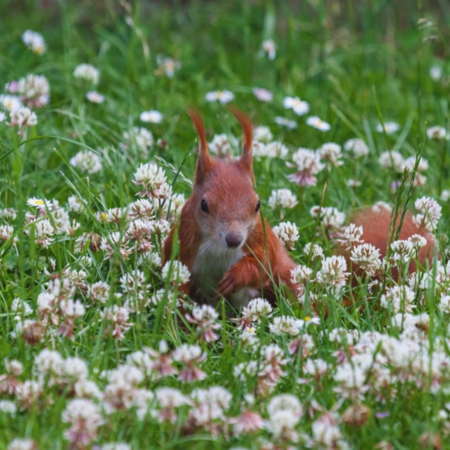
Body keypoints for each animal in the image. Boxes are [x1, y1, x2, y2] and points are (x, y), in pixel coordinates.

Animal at [163, 108, 298, 310]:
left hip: (285, 274)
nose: (234, 239)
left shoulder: (260, 238)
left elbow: (264, 264)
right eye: (203, 205)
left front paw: (236, 276)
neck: (219, 246)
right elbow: (177, 278)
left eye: (257, 205)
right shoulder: (183, 241)